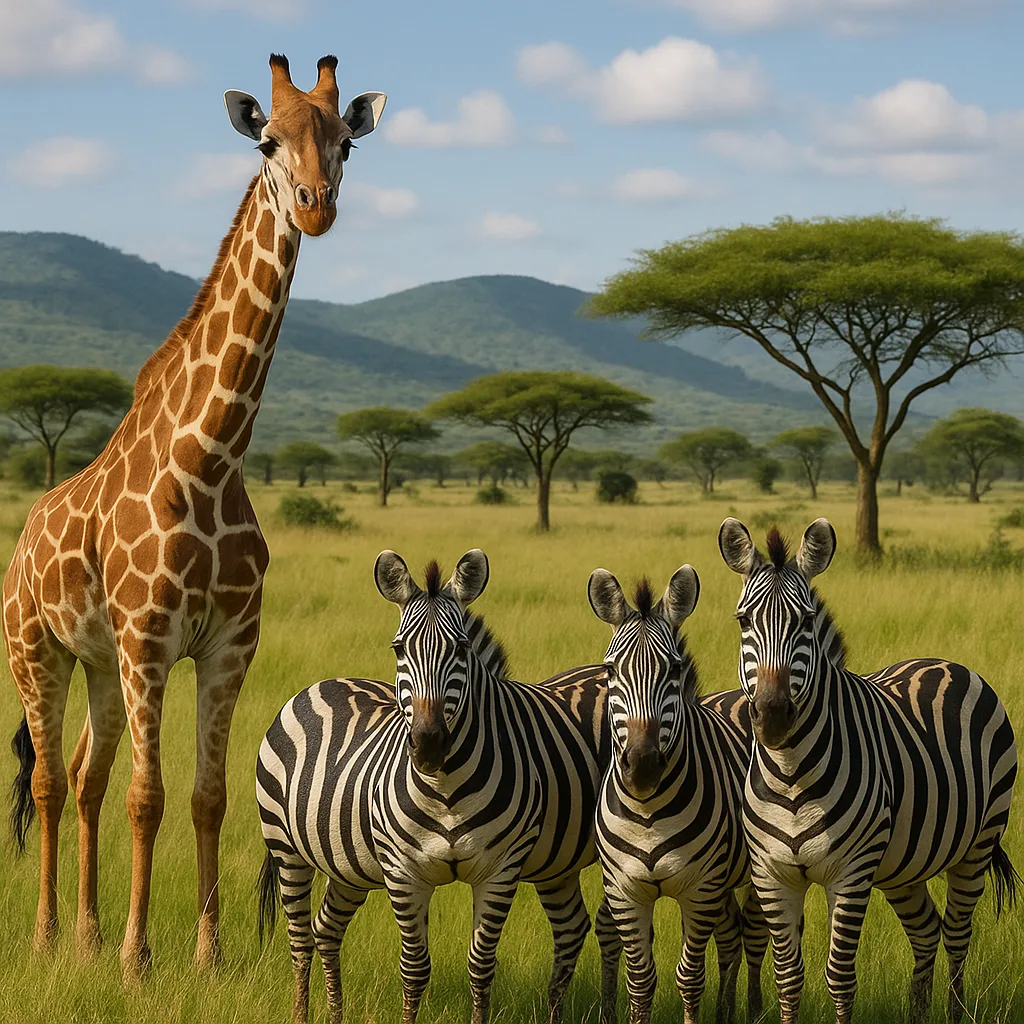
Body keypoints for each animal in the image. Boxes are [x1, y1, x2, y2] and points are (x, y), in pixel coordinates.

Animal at [2, 53, 386, 977]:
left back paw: (86, 933)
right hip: (37, 649)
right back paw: (48, 936)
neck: (211, 459)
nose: (315, 207)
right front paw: (139, 960)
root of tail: (21, 540)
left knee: (85, 775)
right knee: (49, 780)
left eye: (347, 143)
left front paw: (206, 955)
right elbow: (151, 796)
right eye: (268, 141)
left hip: (98, 664)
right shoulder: (149, 640)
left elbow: (209, 797)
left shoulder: (228, 645)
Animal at [256, 549, 620, 1024]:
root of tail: (319, 684)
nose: (429, 743)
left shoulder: (501, 869)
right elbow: (414, 968)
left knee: (325, 929)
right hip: (286, 848)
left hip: (350, 865)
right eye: (398, 649)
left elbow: (481, 966)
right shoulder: (403, 872)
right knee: (300, 938)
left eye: (461, 648)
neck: (447, 790)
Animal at [588, 565, 767, 1024]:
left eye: (673, 670)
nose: (643, 765)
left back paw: (755, 1009)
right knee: (731, 933)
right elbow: (640, 980)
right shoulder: (625, 891)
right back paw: (725, 1012)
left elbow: (689, 977)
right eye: (610, 671)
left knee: (755, 933)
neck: (648, 811)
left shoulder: (699, 889)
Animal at [718, 516, 1019, 1024]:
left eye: (805, 622)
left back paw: (955, 1011)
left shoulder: (852, 872)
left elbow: (840, 977)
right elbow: (788, 978)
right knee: (926, 930)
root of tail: (943, 662)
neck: (791, 773)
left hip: (976, 845)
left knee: (958, 935)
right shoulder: (771, 874)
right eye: (743, 621)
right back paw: (918, 1014)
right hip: (903, 865)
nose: (773, 716)